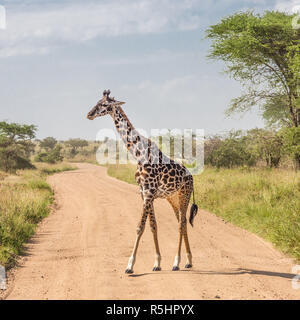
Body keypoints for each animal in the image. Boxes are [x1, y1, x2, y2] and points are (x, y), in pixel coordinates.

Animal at [86, 89, 198, 272]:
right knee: (182, 223)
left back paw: (177, 263)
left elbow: (140, 227)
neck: (138, 154)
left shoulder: (149, 192)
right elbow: (153, 226)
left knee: (181, 224)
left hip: (184, 195)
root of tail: (191, 177)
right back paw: (188, 261)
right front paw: (157, 263)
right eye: (97, 102)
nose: (89, 114)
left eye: (105, 104)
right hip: (173, 198)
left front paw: (130, 266)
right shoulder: (144, 192)